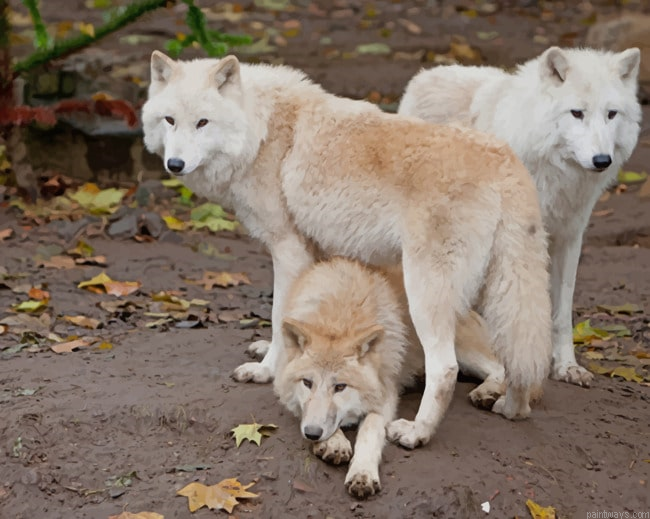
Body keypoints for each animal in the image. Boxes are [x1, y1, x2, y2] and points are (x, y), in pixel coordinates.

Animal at [141, 51, 552, 449]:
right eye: (170, 120)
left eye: (203, 123)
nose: (174, 164)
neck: (263, 132)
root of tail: (504, 160)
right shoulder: (320, 254)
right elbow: (304, 323)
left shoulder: (289, 251)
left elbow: (278, 315)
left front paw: (267, 370)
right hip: (497, 292)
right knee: (512, 359)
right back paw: (506, 403)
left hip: (426, 292)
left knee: (447, 367)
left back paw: (417, 432)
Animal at [275, 257, 506, 498]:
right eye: (307, 383)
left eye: (340, 387)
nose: (312, 434)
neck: (339, 314)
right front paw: (334, 442)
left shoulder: (385, 394)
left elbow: (369, 432)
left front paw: (363, 473)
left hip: (456, 350)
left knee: (500, 368)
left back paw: (487, 392)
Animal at [399, 47, 642, 387]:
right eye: (577, 113)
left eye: (611, 114)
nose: (601, 160)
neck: (554, 172)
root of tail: (428, 73)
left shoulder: (569, 236)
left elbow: (561, 312)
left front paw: (566, 366)